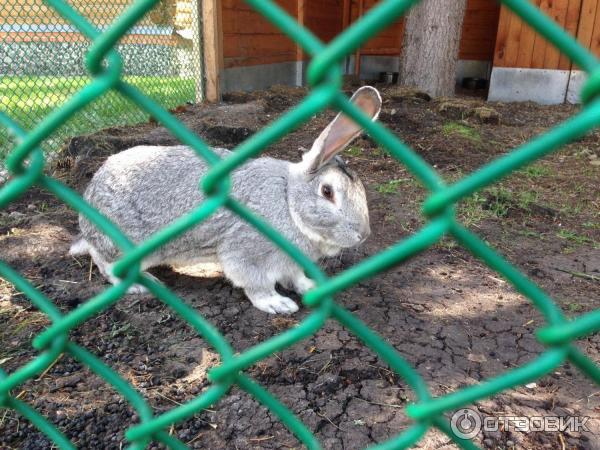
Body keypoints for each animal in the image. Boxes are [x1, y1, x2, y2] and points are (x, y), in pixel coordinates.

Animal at [69, 86, 380, 314]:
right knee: (106, 263)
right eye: (327, 192)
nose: (363, 235)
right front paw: (278, 304)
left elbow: (295, 277)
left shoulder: (288, 263)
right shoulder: (246, 255)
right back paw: (139, 285)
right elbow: (256, 286)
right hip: (124, 245)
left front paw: (310, 287)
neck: (289, 200)